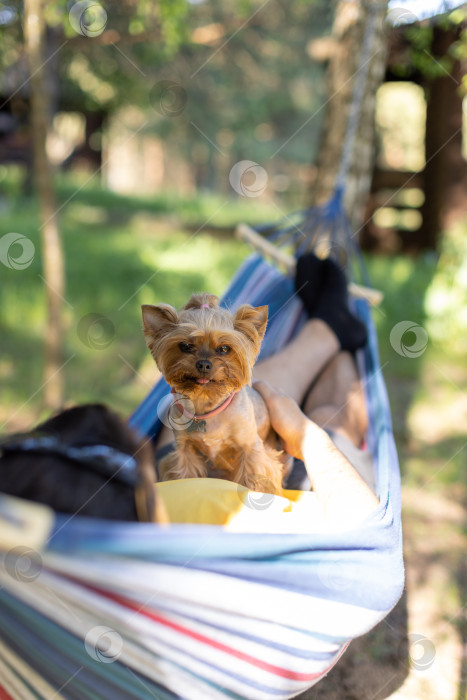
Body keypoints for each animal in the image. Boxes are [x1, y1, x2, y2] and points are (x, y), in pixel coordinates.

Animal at [143, 292, 288, 494]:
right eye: (185, 346)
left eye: (225, 349)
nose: (204, 364)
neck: (207, 403)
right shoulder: (184, 450)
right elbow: (183, 474)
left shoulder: (250, 447)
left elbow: (254, 476)